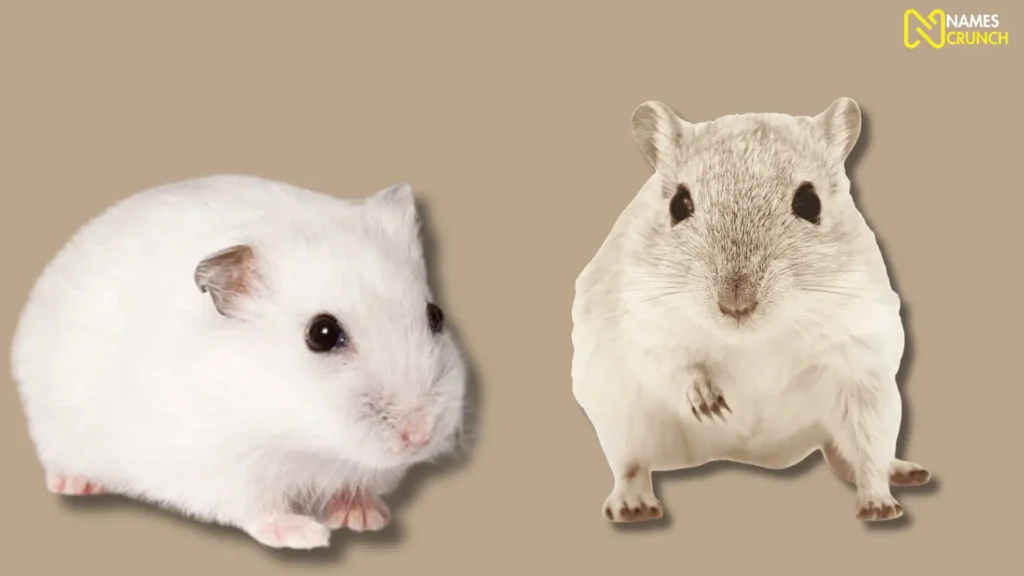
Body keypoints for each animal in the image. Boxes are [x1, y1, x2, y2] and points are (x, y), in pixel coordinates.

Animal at [10, 174, 468, 549]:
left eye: (436, 315)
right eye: (321, 334)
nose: (419, 435)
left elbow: (354, 486)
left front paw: (366, 516)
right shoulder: (221, 467)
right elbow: (257, 508)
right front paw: (305, 535)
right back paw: (74, 483)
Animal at [571, 98, 932, 524]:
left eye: (810, 203)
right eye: (678, 204)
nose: (735, 305)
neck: (752, 340)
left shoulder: (861, 364)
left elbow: (868, 452)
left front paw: (879, 506)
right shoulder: (640, 323)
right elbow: (672, 365)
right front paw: (709, 403)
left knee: (852, 456)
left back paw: (902, 475)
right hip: (620, 418)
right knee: (631, 466)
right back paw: (633, 505)